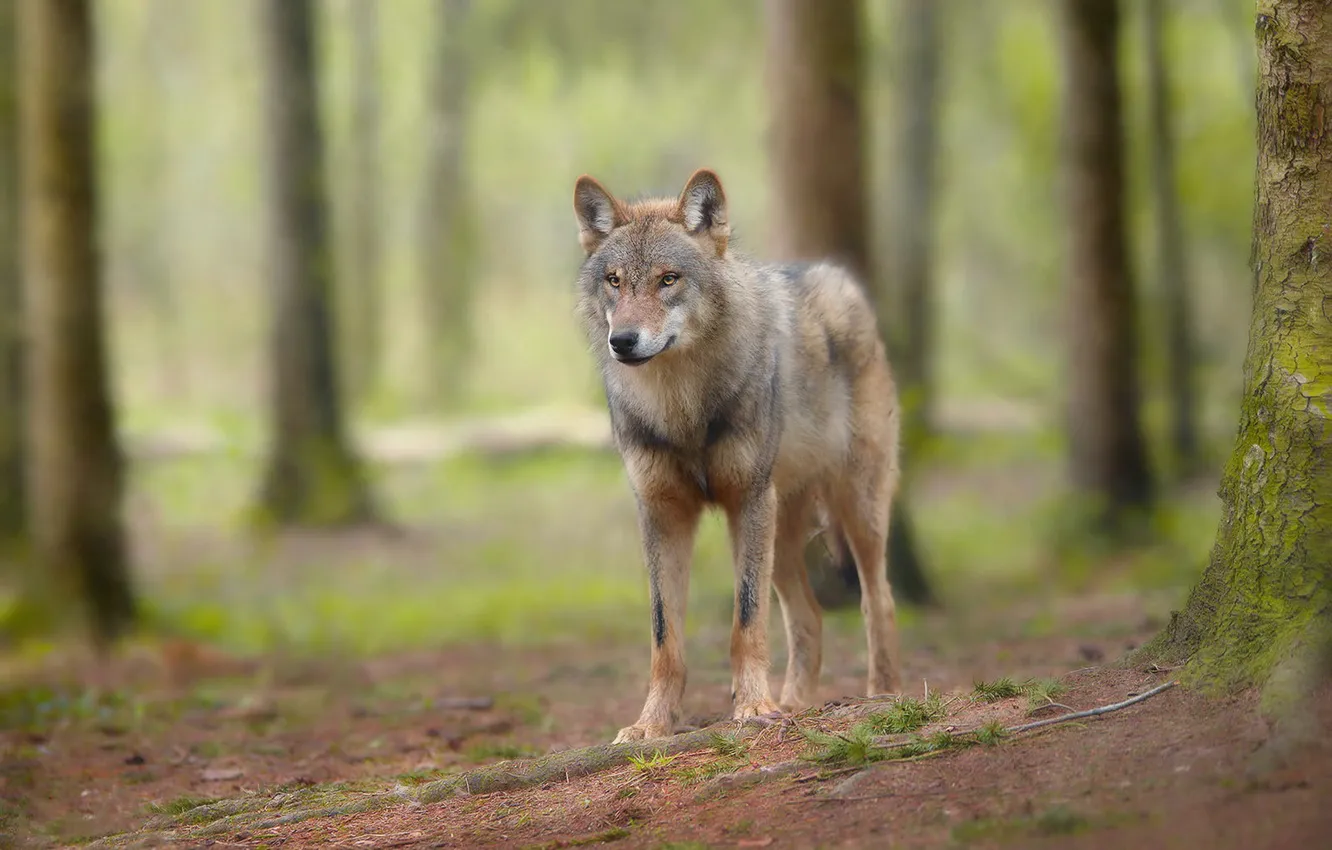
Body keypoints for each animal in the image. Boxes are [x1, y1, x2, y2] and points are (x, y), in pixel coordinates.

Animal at [572, 169, 902, 742]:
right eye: (614, 280)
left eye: (668, 279)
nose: (623, 341)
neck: (680, 407)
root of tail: (838, 279)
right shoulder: (661, 514)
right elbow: (664, 636)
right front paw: (651, 725)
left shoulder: (745, 501)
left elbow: (745, 620)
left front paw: (750, 708)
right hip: (780, 534)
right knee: (809, 616)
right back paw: (792, 705)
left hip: (851, 510)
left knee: (876, 599)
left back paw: (881, 694)